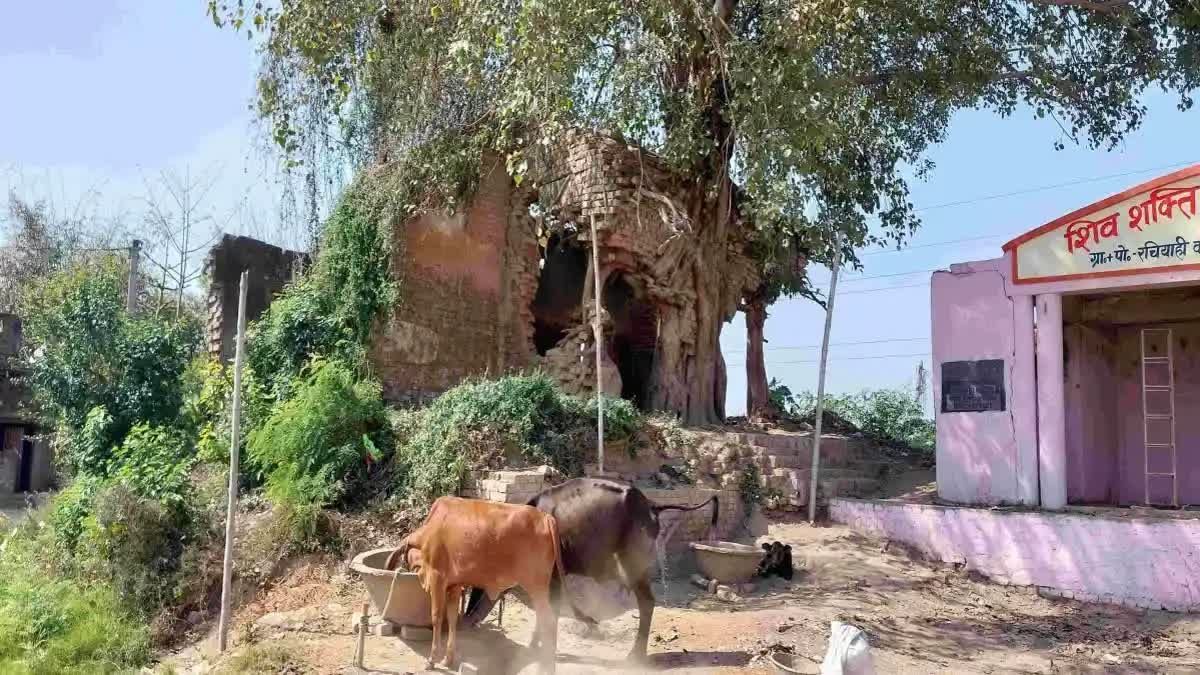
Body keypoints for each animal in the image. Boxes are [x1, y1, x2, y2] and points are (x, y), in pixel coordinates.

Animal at [388, 492, 566, 667]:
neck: (429, 533)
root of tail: (545, 517)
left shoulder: (437, 579)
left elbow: (436, 617)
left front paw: (432, 659)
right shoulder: (454, 585)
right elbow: (452, 618)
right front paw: (448, 659)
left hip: (536, 587)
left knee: (549, 623)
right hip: (545, 588)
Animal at [463, 475, 715, 658]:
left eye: (481, 585)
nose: (465, 621)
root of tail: (650, 504)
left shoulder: (551, 574)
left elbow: (548, 611)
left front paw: (540, 648)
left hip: (632, 563)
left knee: (647, 602)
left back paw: (635, 655)